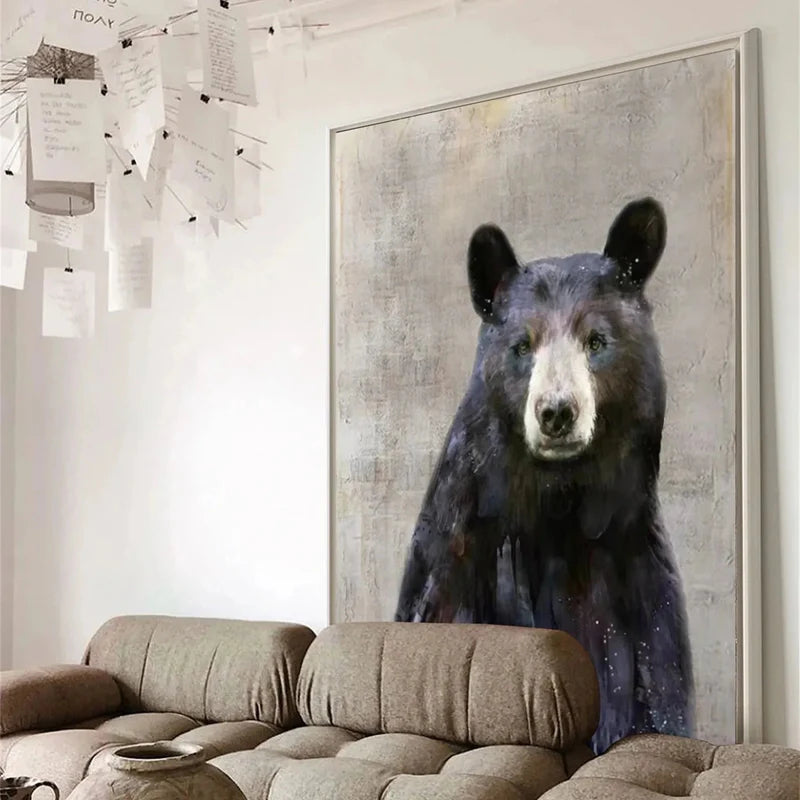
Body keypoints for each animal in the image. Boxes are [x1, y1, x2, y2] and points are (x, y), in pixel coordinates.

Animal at [395, 198, 694, 754]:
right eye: (521, 345)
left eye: (596, 340)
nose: (556, 412)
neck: (557, 506)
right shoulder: (454, 564)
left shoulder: (635, 585)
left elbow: (656, 687)